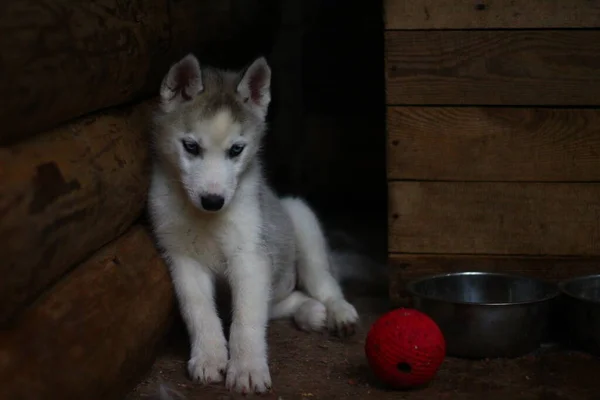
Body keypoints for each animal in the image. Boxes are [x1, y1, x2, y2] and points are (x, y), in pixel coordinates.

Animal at [148, 55, 358, 394]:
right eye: (191, 147)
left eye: (236, 150)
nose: (213, 200)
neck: (206, 219)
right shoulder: (182, 258)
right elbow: (199, 311)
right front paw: (208, 357)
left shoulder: (250, 255)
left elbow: (246, 319)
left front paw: (246, 368)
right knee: (280, 303)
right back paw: (311, 312)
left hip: (301, 218)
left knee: (324, 281)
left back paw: (337, 312)